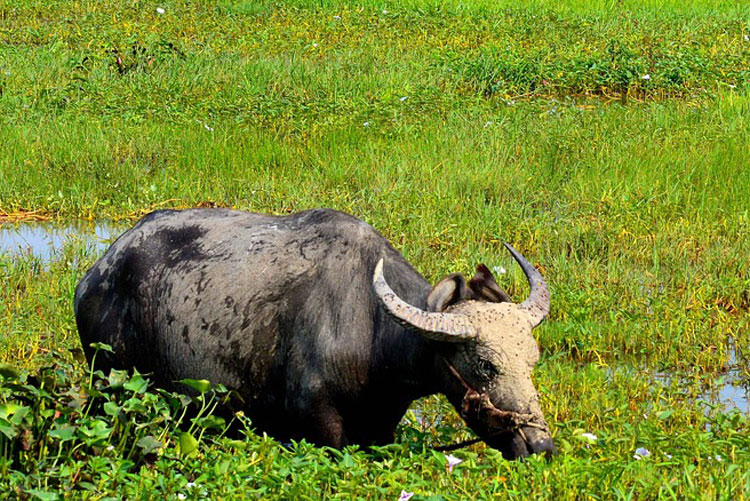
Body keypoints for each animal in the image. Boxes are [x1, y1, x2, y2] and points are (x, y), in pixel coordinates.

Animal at [76, 207, 556, 458]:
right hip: (111, 384)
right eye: (485, 365)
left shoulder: (381, 427)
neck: (373, 333)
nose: (542, 446)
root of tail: (96, 274)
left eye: (532, 359)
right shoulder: (317, 421)